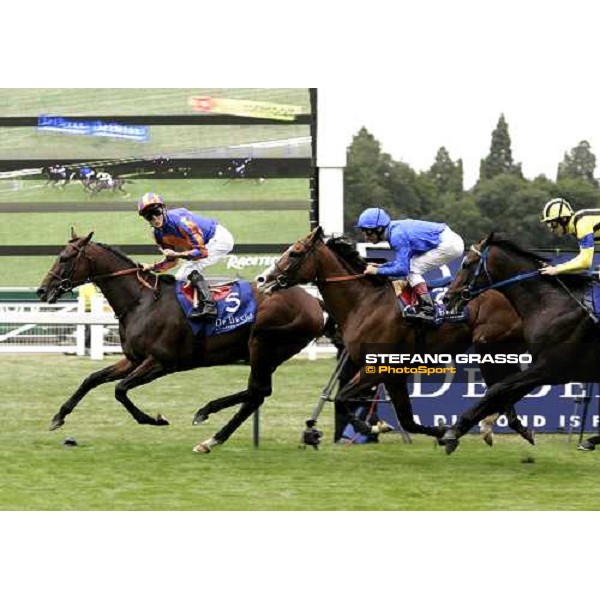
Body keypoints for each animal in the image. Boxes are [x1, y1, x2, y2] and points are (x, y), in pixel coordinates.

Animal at [36, 232, 328, 452]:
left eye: (64, 258)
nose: (41, 290)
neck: (141, 301)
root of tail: (314, 301)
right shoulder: (133, 359)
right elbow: (92, 379)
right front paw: (58, 417)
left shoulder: (161, 362)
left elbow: (120, 389)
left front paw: (154, 419)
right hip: (267, 355)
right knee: (256, 394)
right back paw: (212, 438)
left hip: (262, 346)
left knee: (258, 391)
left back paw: (205, 413)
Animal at [256, 227, 536, 442]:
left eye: (295, 252)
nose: (262, 280)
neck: (365, 302)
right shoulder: (393, 373)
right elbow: (407, 419)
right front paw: (438, 432)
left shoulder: (377, 367)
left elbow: (342, 397)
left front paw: (369, 427)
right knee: (507, 386)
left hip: (490, 345)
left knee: (505, 386)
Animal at [440, 232, 600, 452]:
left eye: (467, 263)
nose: (447, 298)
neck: (550, 304)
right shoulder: (547, 371)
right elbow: (502, 391)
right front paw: (459, 430)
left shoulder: (549, 368)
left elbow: (497, 389)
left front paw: (455, 431)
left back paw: (589, 440)